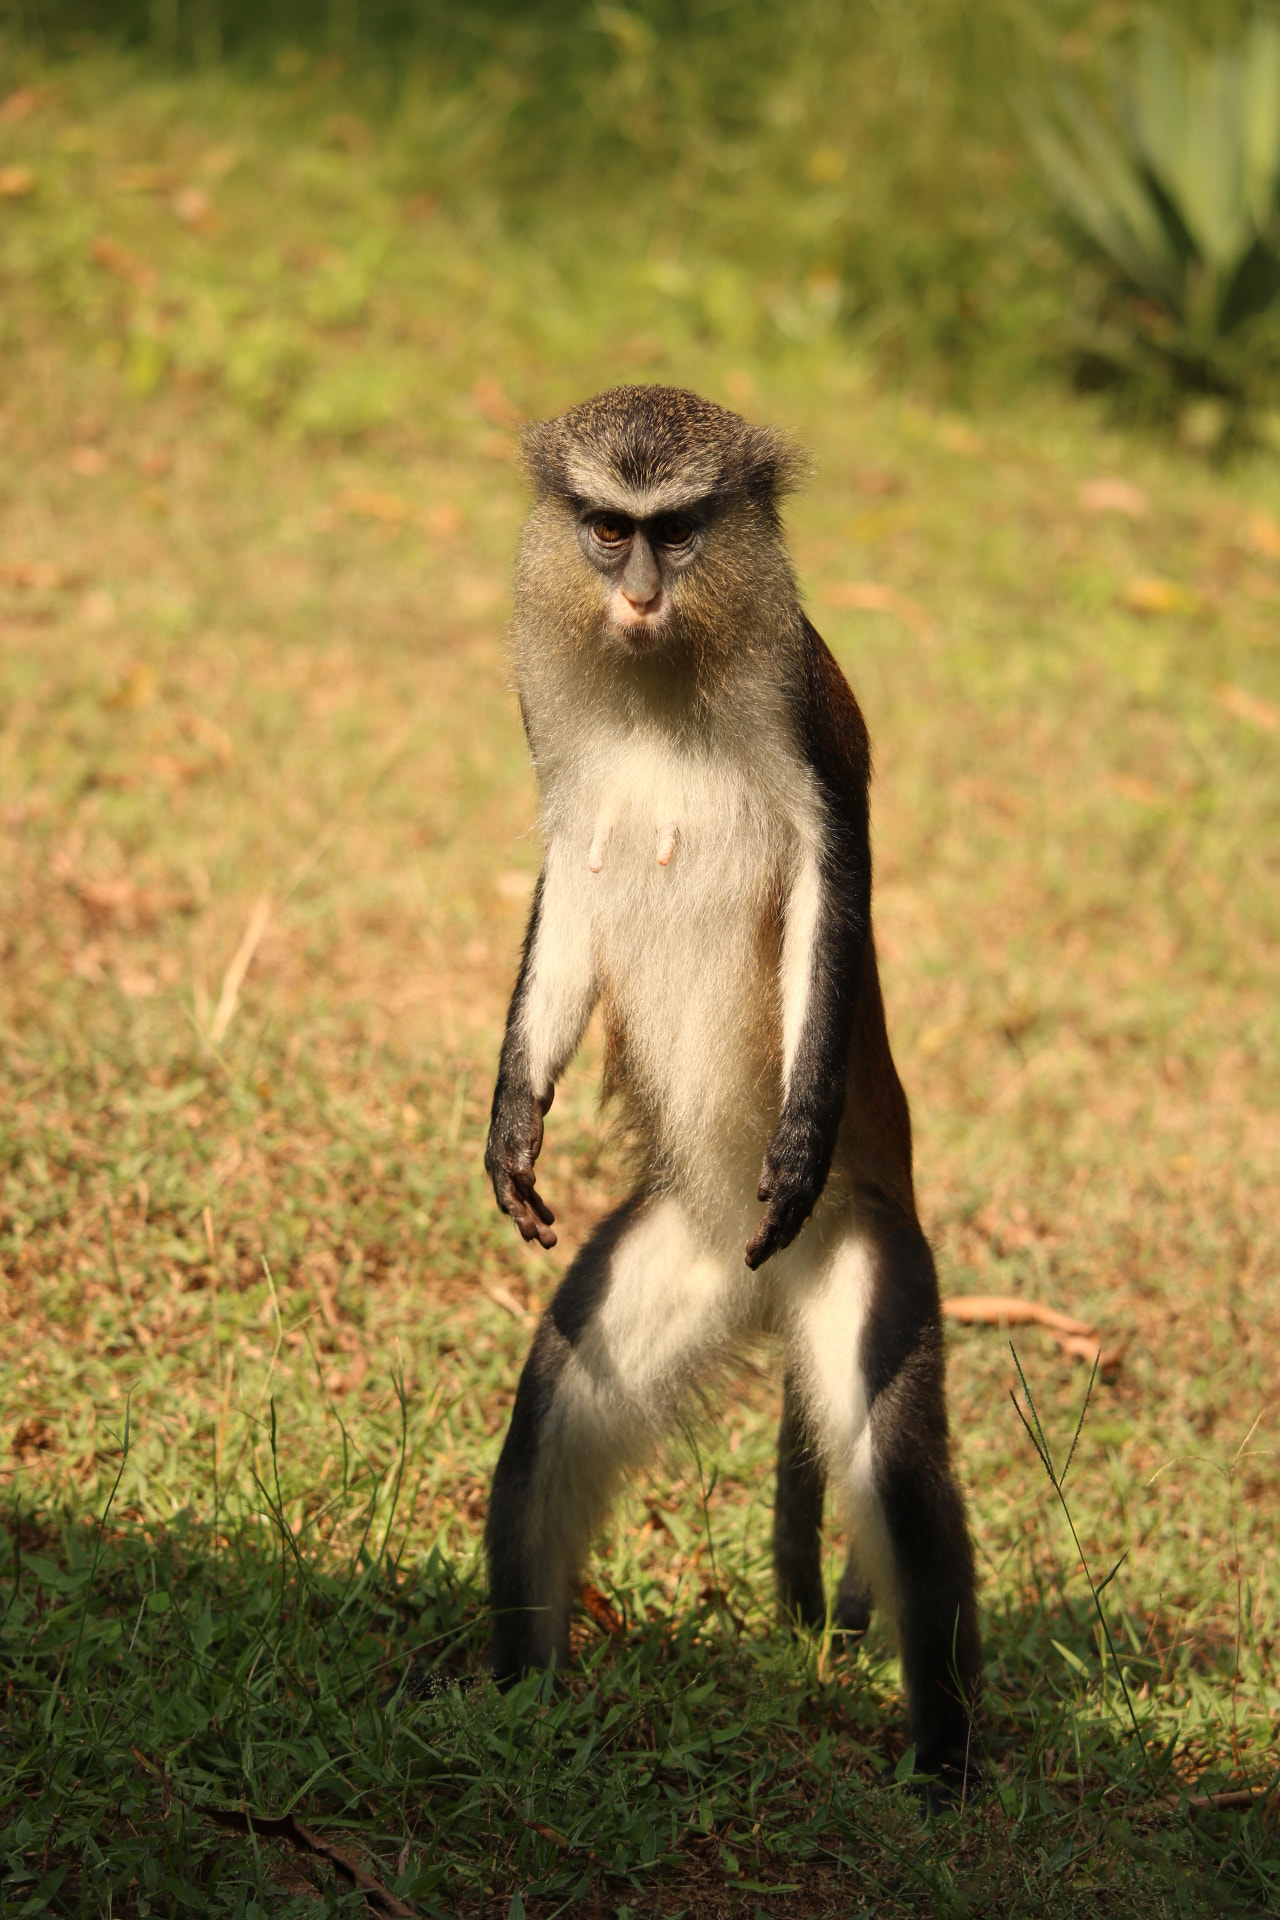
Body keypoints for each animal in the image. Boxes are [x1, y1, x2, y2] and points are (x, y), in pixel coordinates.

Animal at [479, 382, 982, 1789]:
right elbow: (573, 885)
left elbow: (825, 887)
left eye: (682, 531)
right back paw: (520, 1694)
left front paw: (797, 1138)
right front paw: (511, 1126)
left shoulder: (812, 727)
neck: (665, 691)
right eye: (607, 529)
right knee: (557, 1408)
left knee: (895, 1471)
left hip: (863, 1252)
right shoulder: (560, 765)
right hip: (678, 1255)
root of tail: (767, 1284)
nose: (641, 598)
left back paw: (946, 1762)